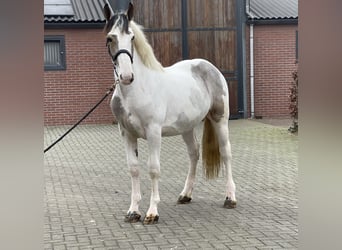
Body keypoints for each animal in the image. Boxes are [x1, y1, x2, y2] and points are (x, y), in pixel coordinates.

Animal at [102, 1, 235, 225]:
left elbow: (153, 169)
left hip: (220, 119)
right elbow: (134, 169)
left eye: (132, 37)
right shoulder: (127, 134)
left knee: (226, 153)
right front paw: (133, 211)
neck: (137, 90)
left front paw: (152, 213)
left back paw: (230, 198)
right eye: (110, 38)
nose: (127, 76)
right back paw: (185, 195)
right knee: (194, 153)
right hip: (187, 127)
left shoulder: (154, 132)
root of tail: (209, 67)